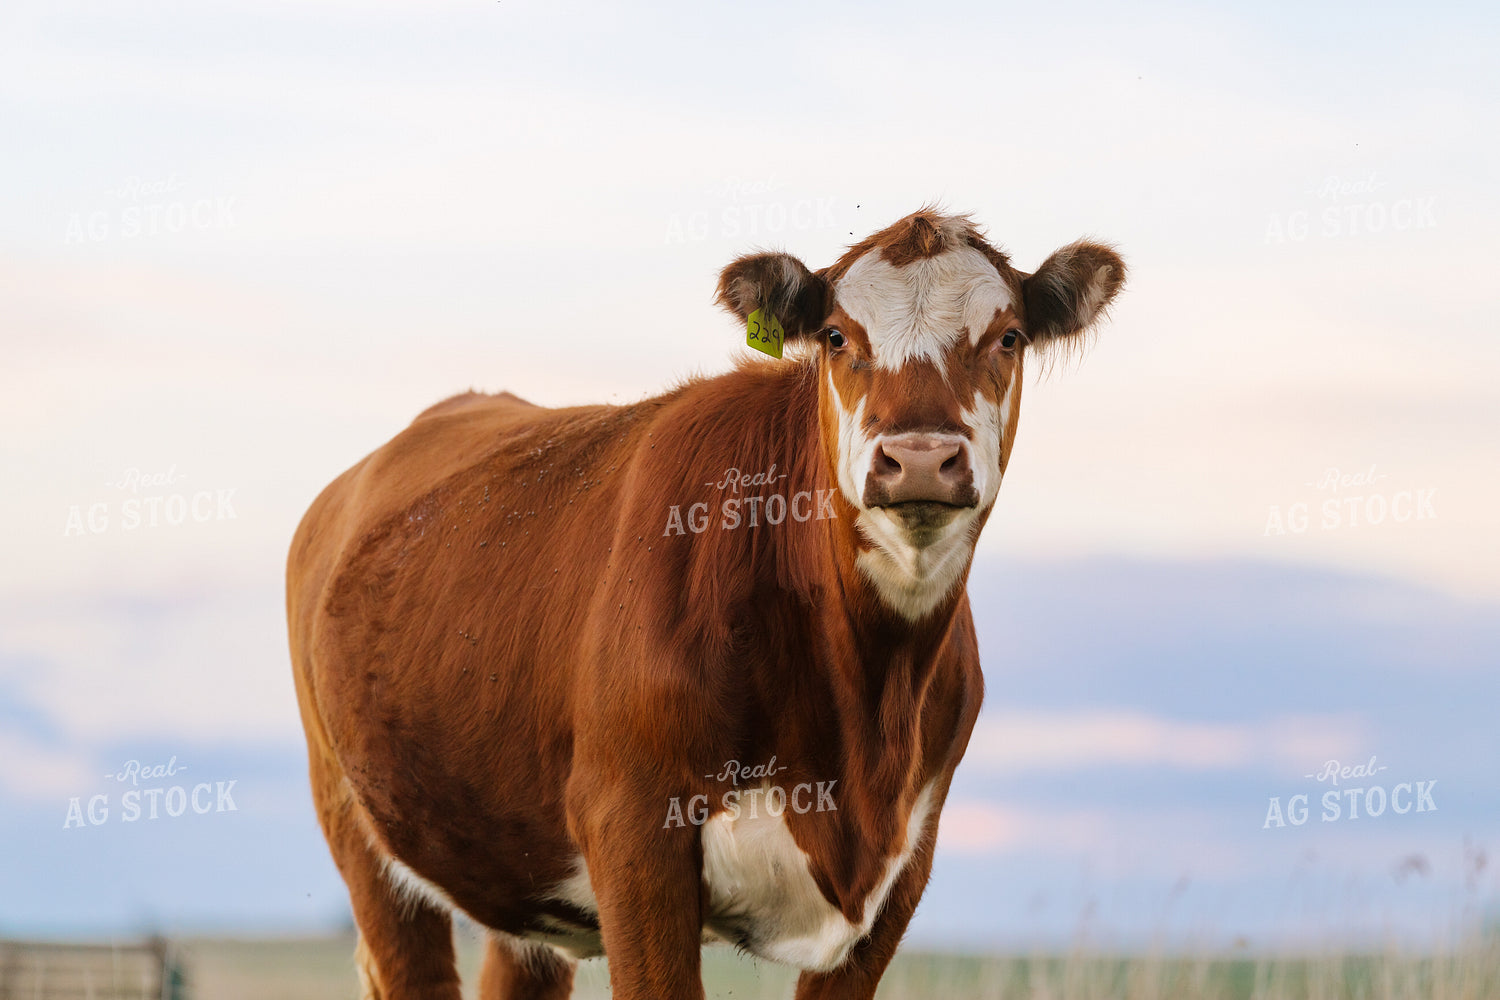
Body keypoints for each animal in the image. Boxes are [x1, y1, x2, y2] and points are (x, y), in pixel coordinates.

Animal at [286, 208, 1124, 1000]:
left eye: (1009, 336)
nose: (920, 456)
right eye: (835, 335)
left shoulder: (903, 865)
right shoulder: (632, 831)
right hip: (358, 826)